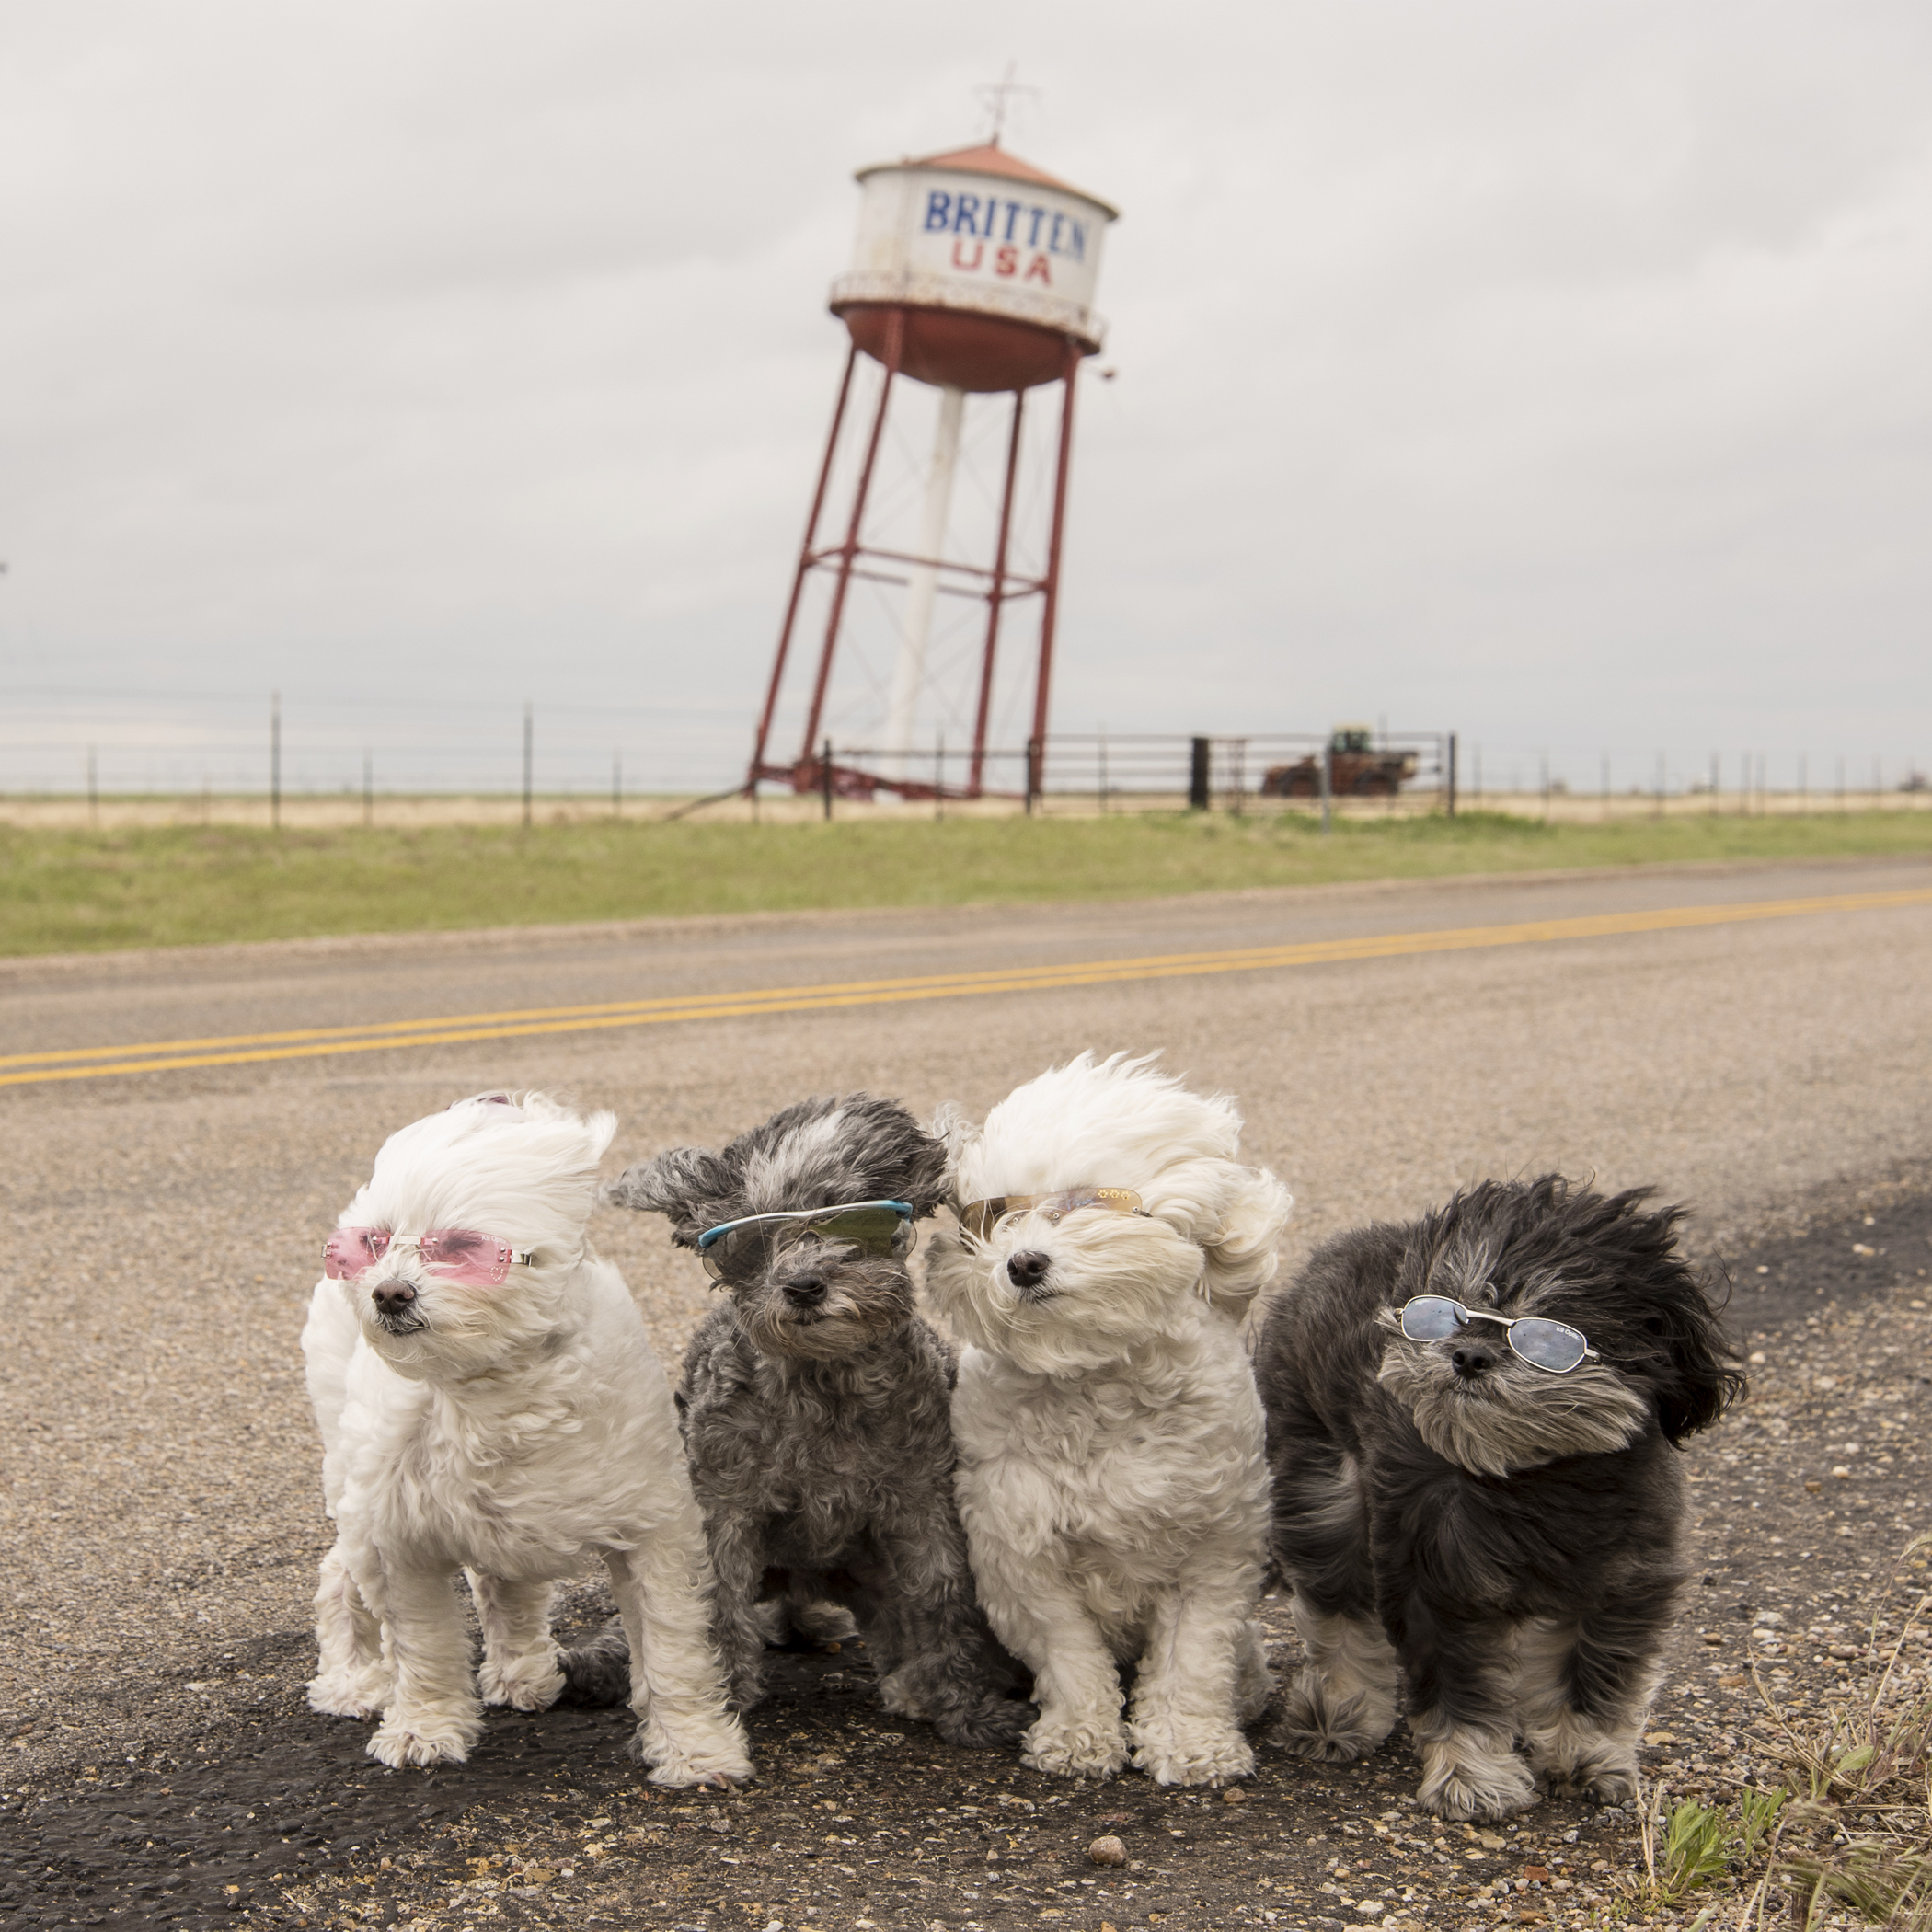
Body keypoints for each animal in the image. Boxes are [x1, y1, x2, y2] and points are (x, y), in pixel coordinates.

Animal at [299, 1097, 745, 1785]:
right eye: (375, 1242)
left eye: (461, 1246)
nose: (388, 1292)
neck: (495, 1383)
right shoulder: (400, 1538)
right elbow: (424, 1650)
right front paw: (424, 1729)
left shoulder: (653, 1529)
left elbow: (673, 1650)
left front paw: (695, 1747)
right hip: (354, 1483)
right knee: (339, 1575)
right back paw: (350, 1679)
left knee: (502, 1586)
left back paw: (521, 1672)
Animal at [571, 1089, 1028, 1754]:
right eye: (754, 1237)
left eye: (852, 1218)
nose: (805, 1285)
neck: (822, 1391)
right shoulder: (724, 1507)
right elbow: (714, 1607)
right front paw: (718, 1710)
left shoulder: (921, 1501)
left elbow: (942, 1600)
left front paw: (966, 1708)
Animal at [923, 1058, 1290, 1777]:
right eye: (997, 1219)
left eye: (1088, 1203)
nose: (1024, 1263)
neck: (1096, 1381)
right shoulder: (1017, 1548)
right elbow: (1068, 1653)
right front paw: (1079, 1737)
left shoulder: (1215, 1548)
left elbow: (1192, 1658)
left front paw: (1191, 1743)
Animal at [1259, 1167, 1746, 1815]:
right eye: (1449, 1312)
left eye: (1549, 1336)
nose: (1469, 1354)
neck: (1529, 1475)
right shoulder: (1434, 1571)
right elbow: (1458, 1682)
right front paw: (1471, 1775)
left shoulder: (1624, 1579)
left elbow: (1594, 1672)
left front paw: (1585, 1754)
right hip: (1324, 1491)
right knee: (1337, 1609)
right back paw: (1336, 1711)